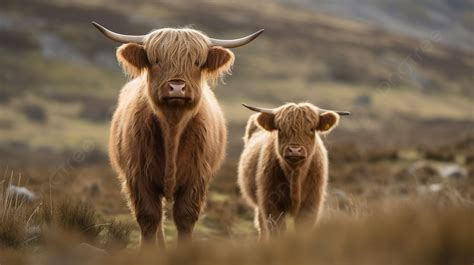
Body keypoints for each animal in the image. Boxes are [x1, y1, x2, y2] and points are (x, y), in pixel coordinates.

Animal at [91, 21, 262, 246]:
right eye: (156, 60)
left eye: (197, 62)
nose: (177, 87)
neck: (172, 128)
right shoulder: (138, 177)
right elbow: (149, 218)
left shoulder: (197, 178)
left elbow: (184, 217)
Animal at [237, 102, 348, 238]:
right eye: (280, 129)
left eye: (311, 129)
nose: (295, 150)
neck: (296, 174)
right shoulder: (271, 203)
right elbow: (276, 231)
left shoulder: (311, 204)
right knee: (262, 227)